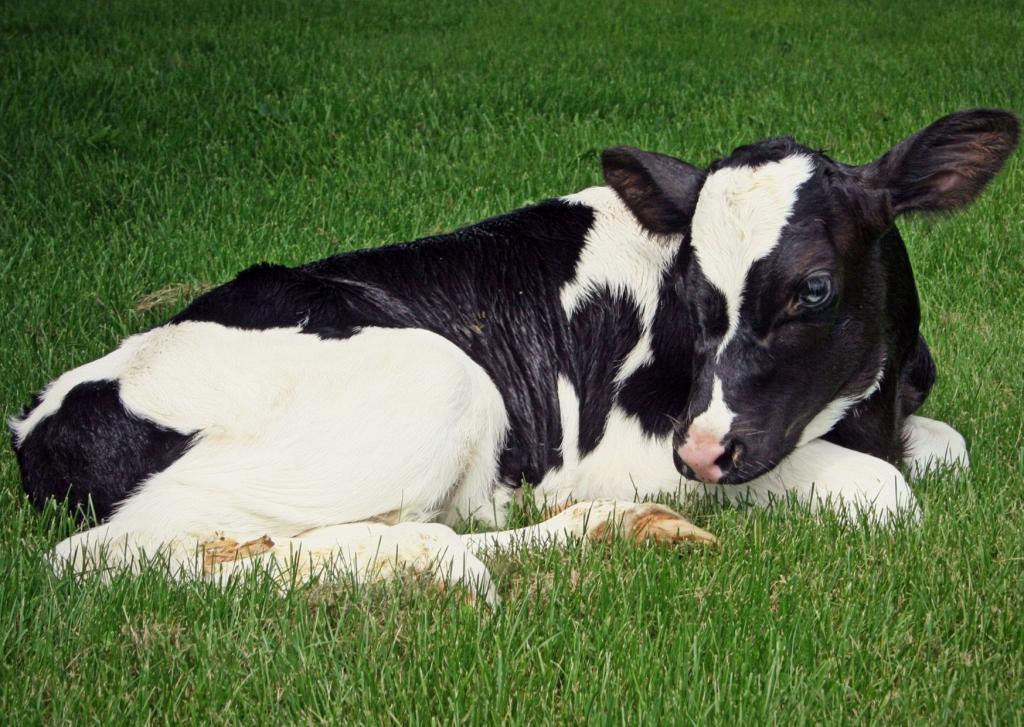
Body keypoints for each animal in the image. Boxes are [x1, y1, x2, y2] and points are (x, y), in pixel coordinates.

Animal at [8, 107, 1015, 597]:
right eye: (690, 290)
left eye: (813, 288)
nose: (701, 454)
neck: (869, 401)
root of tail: (43, 416)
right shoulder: (637, 446)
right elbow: (887, 492)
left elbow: (949, 448)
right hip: (439, 380)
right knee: (103, 554)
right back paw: (435, 563)